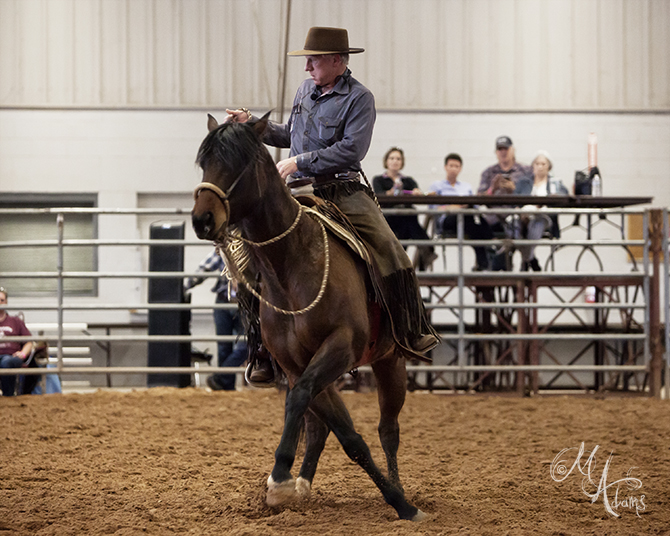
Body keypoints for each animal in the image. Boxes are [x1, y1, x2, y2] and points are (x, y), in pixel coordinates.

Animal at [192, 115, 428, 520]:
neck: (291, 264)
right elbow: (345, 434)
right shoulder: (293, 364)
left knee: (389, 429)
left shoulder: (340, 347)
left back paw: (395, 486)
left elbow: (306, 402)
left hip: (390, 361)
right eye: (204, 162)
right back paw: (303, 485)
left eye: (241, 162)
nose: (202, 219)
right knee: (321, 426)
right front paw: (284, 483)